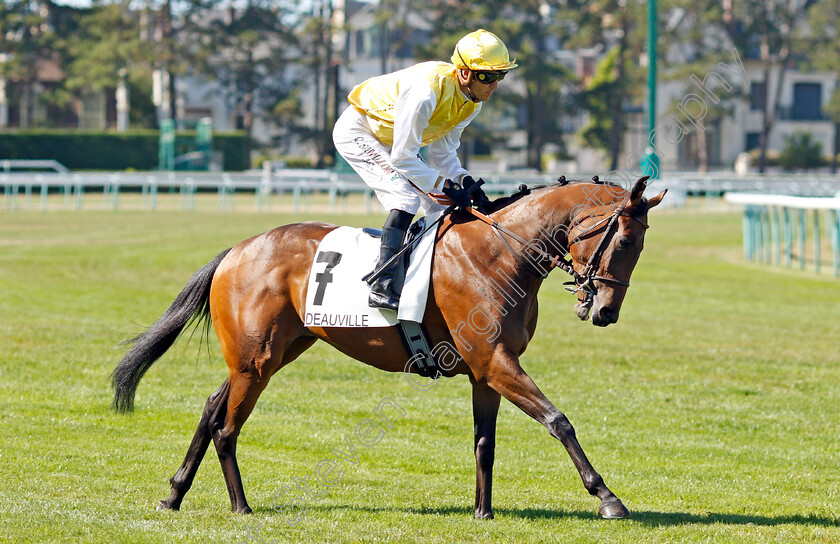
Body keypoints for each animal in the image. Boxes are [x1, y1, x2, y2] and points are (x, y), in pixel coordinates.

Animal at [110, 176, 664, 520]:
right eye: (623, 241)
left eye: (640, 246)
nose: (605, 310)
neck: (500, 253)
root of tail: (236, 250)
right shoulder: (495, 362)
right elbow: (558, 420)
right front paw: (607, 497)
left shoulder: (486, 370)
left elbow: (484, 442)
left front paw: (483, 510)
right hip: (257, 360)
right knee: (226, 427)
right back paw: (240, 506)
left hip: (272, 353)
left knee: (211, 407)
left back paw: (175, 493)